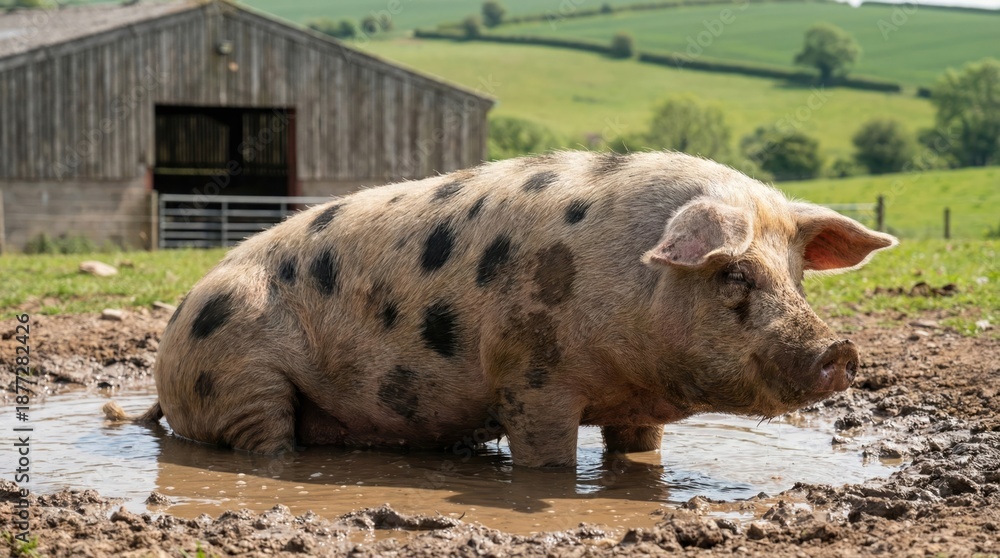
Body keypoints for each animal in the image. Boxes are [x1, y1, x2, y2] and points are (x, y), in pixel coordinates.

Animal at [107, 151, 896, 468]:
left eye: (796, 275)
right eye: (733, 273)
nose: (841, 351)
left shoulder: (635, 406)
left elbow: (638, 454)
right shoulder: (530, 377)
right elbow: (547, 459)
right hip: (240, 370)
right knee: (265, 443)